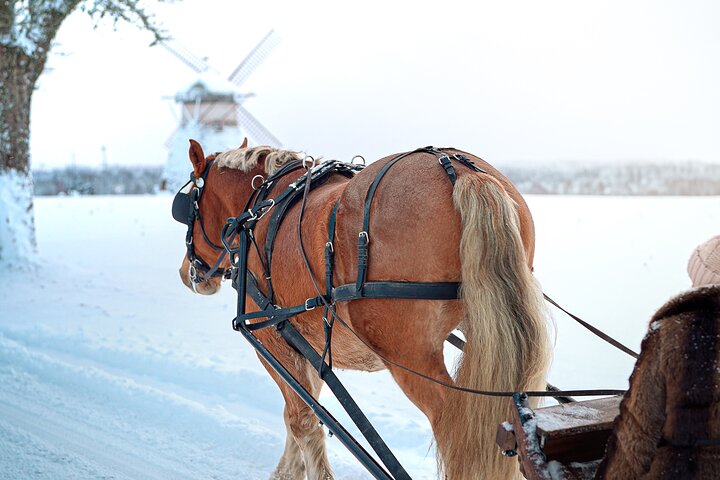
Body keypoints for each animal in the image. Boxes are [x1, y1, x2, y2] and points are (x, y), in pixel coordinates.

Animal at [175, 138, 552, 479]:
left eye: (188, 204)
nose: (185, 274)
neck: (260, 208)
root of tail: (458, 171)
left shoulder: (271, 338)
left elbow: (301, 420)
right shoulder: (308, 346)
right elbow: (302, 411)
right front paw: (287, 471)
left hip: (410, 355)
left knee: (457, 432)